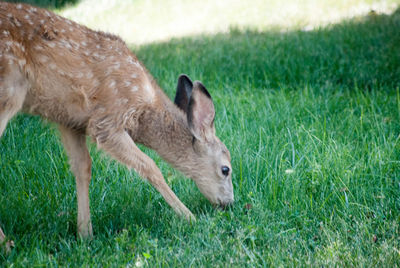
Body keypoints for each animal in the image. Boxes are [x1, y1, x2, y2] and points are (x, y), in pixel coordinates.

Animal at [0, 2, 234, 251]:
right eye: (225, 169)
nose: (229, 203)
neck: (145, 108)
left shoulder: (69, 120)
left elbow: (83, 167)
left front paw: (85, 234)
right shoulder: (107, 120)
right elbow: (150, 166)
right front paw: (188, 216)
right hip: (10, 88)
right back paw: (6, 244)